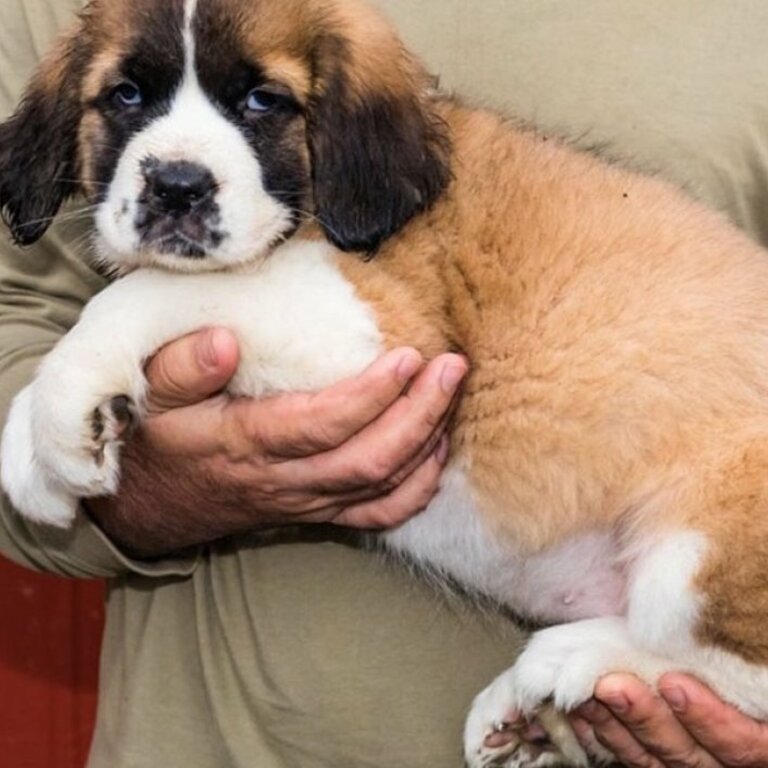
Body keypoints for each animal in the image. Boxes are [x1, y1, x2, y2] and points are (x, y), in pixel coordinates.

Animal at [1, 0, 768, 764]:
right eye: (126, 95)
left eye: (263, 101)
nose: (176, 187)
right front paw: (29, 446)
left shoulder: (382, 328)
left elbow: (158, 290)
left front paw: (61, 415)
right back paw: (522, 710)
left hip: (701, 541)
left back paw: (569, 660)